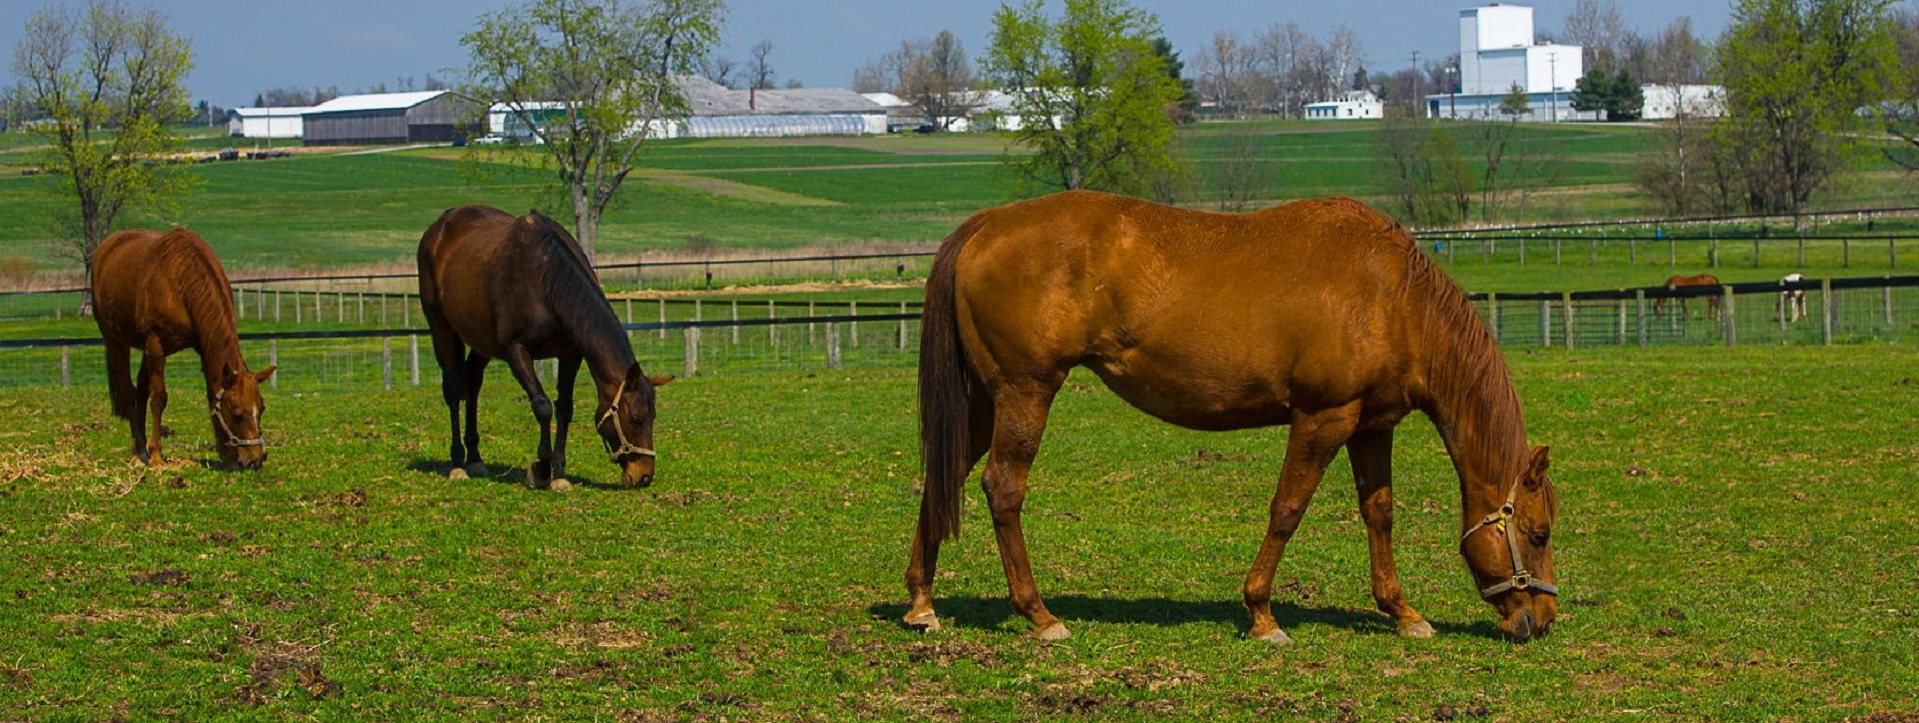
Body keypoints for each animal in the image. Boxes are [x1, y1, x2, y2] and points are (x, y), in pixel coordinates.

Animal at [90, 229, 276, 470]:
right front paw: (157, 456)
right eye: (236, 414)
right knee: (129, 391)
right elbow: (159, 397)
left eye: (261, 409)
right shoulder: (155, 343)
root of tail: (106, 247)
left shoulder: (203, 345)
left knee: (141, 389)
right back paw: (139, 450)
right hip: (116, 341)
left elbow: (211, 393)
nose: (256, 460)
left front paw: (226, 455)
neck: (179, 281)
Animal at [417, 205, 672, 490]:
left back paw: (475, 458)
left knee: (472, 383)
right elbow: (542, 406)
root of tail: (439, 226)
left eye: (653, 418)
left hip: (482, 342)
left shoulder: (570, 354)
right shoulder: (516, 351)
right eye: (636, 418)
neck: (546, 280)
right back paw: (458, 463)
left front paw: (558, 473)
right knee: (453, 390)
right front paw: (541, 468)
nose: (644, 476)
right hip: (441, 328)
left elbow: (564, 408)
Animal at [908, 190, 1558, 644]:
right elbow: (1287, 510)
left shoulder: (1372, 426)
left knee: (943, 477)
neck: (1391, 299)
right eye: (1539, 533)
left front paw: (1402, 612)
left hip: (986, 400)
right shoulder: (1322, 418)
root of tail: (987, 224)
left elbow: (1379, 514)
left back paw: (922, 603)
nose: (1544, 616)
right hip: (1025, 393)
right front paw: (1262, 614)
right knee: (1002, 488)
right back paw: (1040, 615)